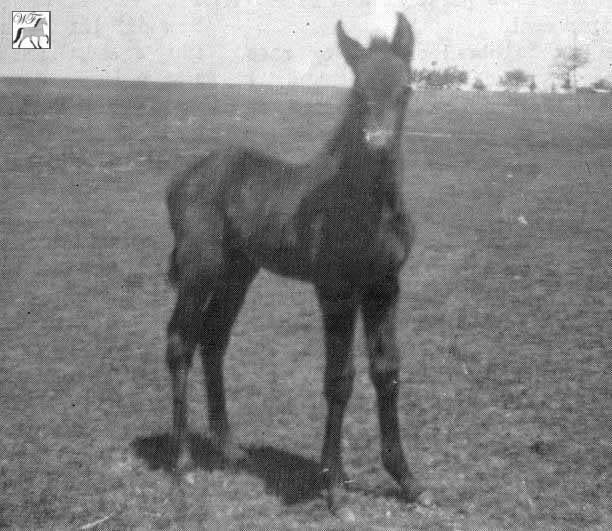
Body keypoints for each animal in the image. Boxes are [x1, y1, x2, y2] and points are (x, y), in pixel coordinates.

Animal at [165, 13, 432, 512]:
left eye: (406, 89)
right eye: (358, 91)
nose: (379, 145)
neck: (366, 205)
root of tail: (183, 176)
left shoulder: (385, 286)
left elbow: (386, 371)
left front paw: (408, 481)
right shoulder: (336, 290)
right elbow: (339, 379)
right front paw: (333, 486)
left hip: (238, 273)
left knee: (213, 339)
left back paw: (229, 448)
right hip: (198, 271)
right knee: (180, 343)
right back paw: (184, 462)